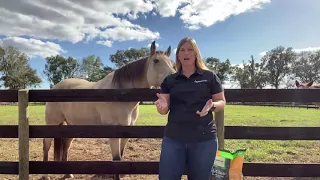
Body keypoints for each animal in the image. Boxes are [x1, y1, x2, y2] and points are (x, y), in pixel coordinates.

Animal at [41, 41, 176, 180]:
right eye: (156, 60)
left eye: (172, 62)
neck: (120, 95)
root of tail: (55, 87)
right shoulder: (113, 131)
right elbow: (116, 159)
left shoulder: (127, 130)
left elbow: (120, 155)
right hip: (52, 123)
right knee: (46, 144)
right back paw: (45, 175)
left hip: (71, 124)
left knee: (66, 144)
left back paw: (68, 173)